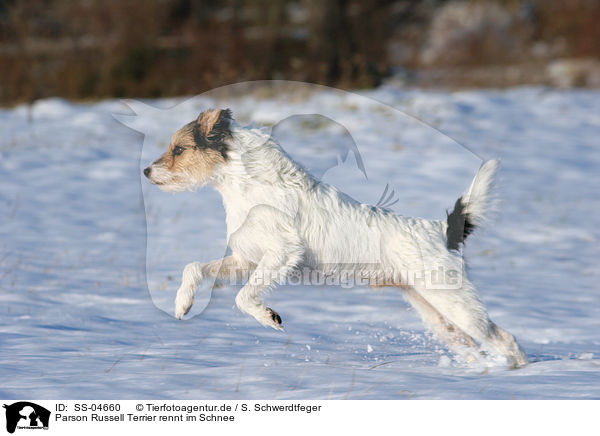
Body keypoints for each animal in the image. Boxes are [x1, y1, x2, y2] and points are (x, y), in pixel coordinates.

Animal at [143, 109, 528, 368]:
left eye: (179, 149)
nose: (146, 171)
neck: (249, 185)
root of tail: (442, 230)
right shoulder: (245, 260)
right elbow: (194, 268)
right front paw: (182, 304)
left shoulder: (280, 255)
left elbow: (243, 297)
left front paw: (268, 317)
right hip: (437, 313)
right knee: (471, 344)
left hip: (456, 303)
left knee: (505, 339)